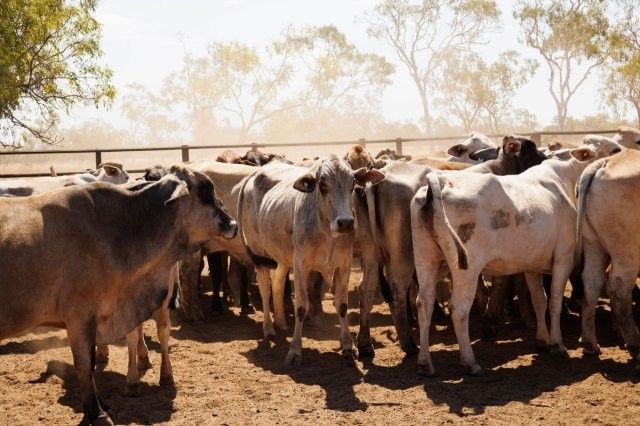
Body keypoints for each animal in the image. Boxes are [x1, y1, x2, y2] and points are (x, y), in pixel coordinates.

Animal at [237, 156, 384, 365]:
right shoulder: (301, 266)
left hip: (283, 256)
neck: (326, 231)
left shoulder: (344, 265)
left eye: (353, 183)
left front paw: (348, 346)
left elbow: (342, 305)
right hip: (259, 252)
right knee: (265, 288)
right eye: (322, 184)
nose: (346, 223)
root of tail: (256, 172)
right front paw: (295, 351)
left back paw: (281, 323)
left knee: (277, 283)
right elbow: (301, 307)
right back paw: (269, 328)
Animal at [355, 135, 546, 359]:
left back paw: (365, 344)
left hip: (370, 249)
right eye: (531, 148)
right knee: (398, 291)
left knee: (366, 288)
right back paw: (409, 344)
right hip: (402, 255)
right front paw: (491, 321)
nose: (546, 160)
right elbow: (502, 281)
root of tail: (376, 177)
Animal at [410, 135, 622, 376]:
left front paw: (543, 340)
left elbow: (540, 301)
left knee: (424, 303)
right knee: (459, 309)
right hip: (467, 270)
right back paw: (470, 362)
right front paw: (557, 344)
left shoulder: (532, 265)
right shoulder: (563, 258)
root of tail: (441, 180)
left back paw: (425, 363)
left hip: (426, 260)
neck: (566, 179)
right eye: (614, 150)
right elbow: (555, 302)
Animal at [576, 149, 640, 371]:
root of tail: (605, 162)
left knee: (591, 283)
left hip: (593, 244)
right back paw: (635, 346)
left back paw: (590, 344)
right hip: (627, 251)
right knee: (619, 290)